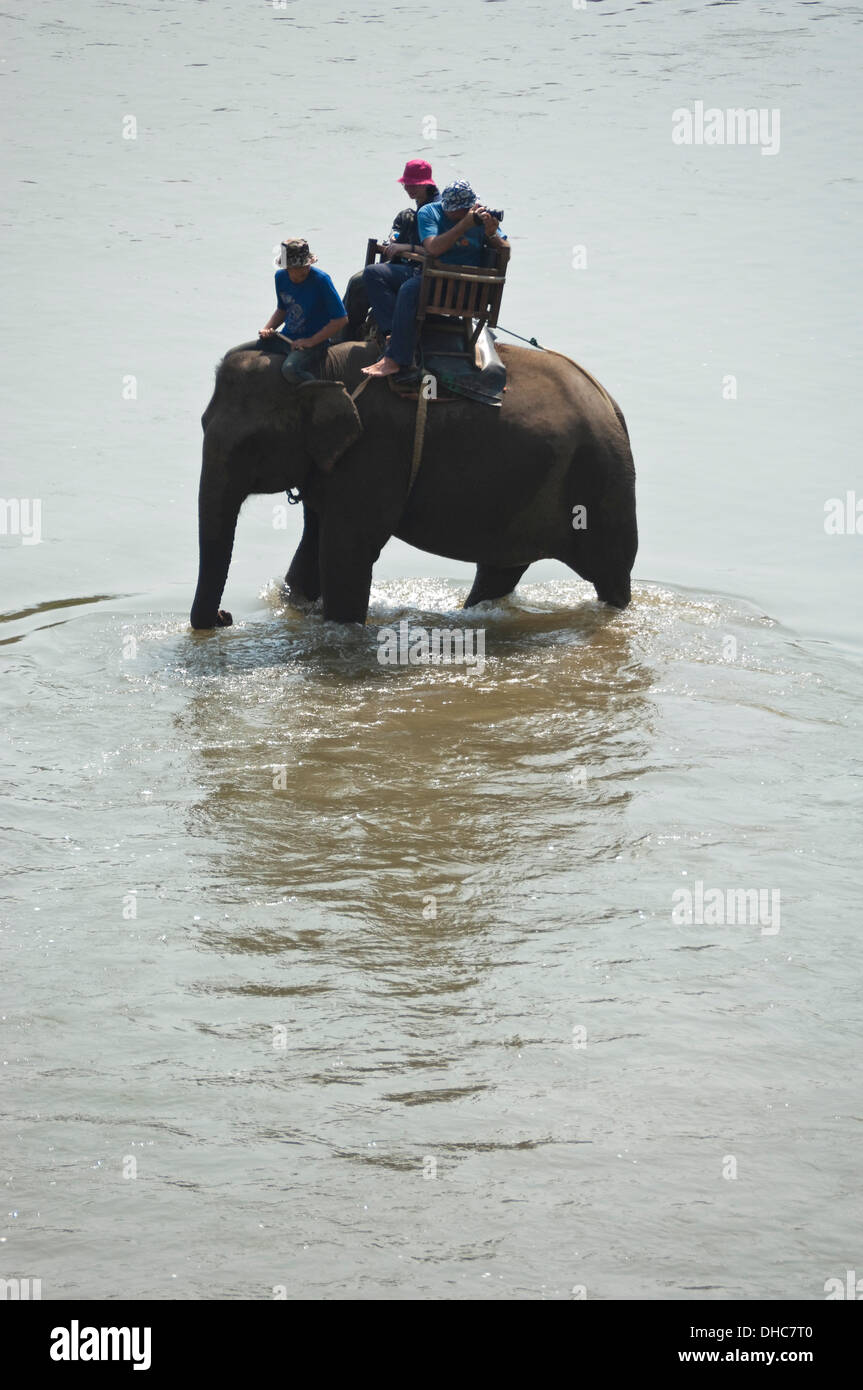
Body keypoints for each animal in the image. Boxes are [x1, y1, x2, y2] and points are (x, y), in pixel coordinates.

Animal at [190, 340, 633, 631]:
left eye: (250, 445)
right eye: (202, 424)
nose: (225, 616)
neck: (321, 366)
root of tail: (611, 404)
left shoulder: (373, 453)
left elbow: (346, 551)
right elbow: (313, 547)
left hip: (601, 484)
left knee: (610, 574)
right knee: (499, 572)